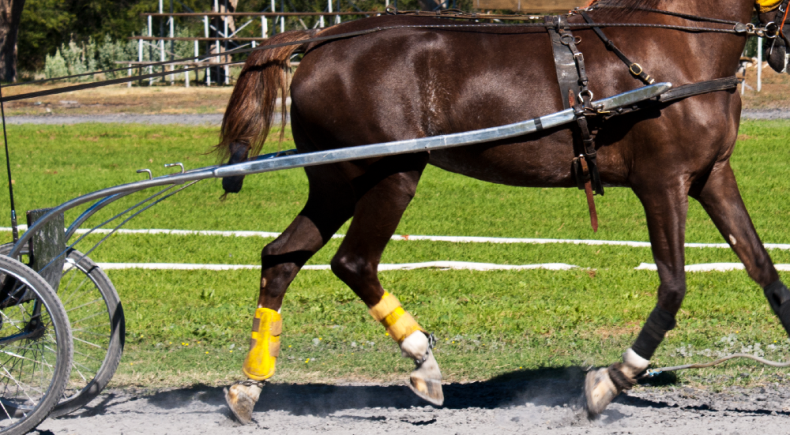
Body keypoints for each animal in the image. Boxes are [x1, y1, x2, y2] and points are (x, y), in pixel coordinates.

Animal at [217, 0, 790, 422]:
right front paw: (611, 380)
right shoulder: (662, 183)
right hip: (390, 175)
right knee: (352, 262)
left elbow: (765, 272)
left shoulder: (712, 177)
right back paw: (423, 359)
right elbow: (673, 287)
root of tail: (321, 40)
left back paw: (250, 386)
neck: (676, 43)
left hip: (336, 184)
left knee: (281, 257)